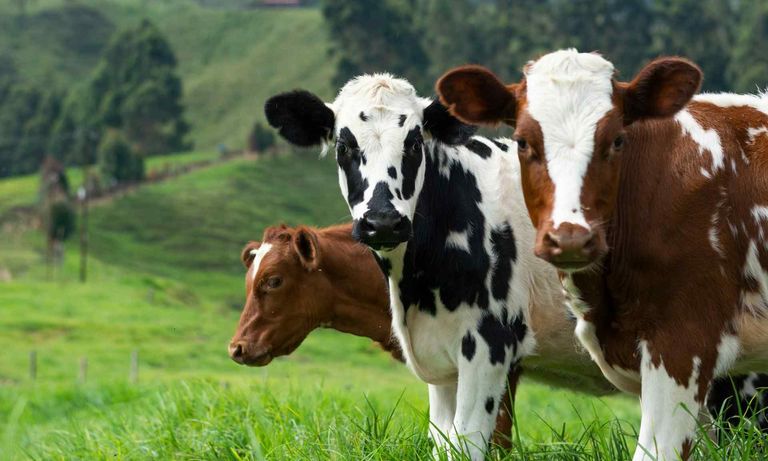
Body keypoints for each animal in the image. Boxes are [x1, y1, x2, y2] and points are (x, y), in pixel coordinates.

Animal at [263, 75, 580, 459]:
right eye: (344, 147)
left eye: (415, 144)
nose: (383, 222)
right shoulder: (442, 363)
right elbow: (442, 441)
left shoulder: (491, 344)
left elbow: (468, 442)